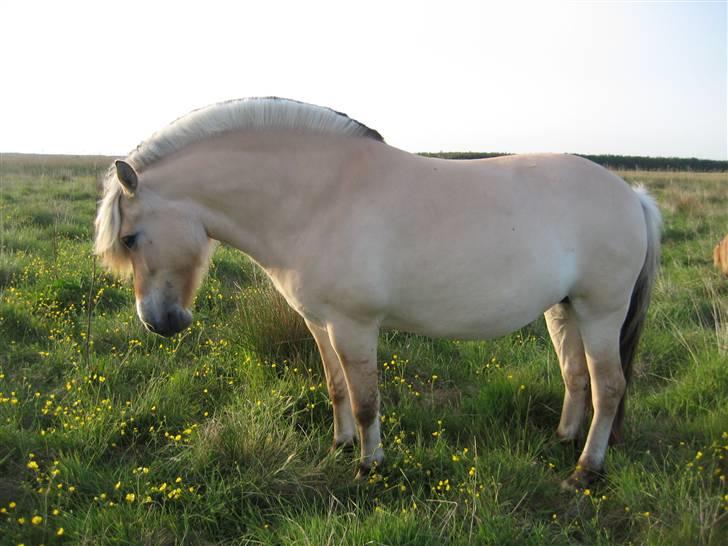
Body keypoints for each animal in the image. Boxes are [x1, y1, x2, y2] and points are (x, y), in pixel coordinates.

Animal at [95, 98, 660, 488]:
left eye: (130, 237)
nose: (157, 321)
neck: (318, 198)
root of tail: (632, 195)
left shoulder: (354, 326)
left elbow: (367, 400)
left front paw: (370, 465)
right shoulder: (319, 323)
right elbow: (337, 388)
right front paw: (341, 445)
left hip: (601, 312)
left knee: (609, 387)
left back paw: (585, 470)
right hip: (565, 311)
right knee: (576, 376)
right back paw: (565, 438)